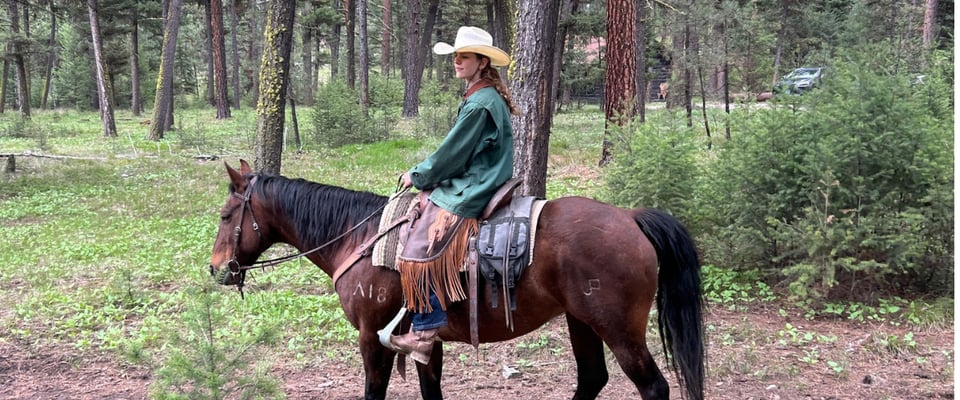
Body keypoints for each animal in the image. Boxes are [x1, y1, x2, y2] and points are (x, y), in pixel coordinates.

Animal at [209, 160, 705, 400]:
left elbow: (374, 392)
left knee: (653, 387)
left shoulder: (373, 337)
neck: (361, 238)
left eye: (226, 215)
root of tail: (631, 217)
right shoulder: (426, 342)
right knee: (591, 380)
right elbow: (432, 392)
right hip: (581, 322)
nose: (216, 269)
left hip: (619, 330)